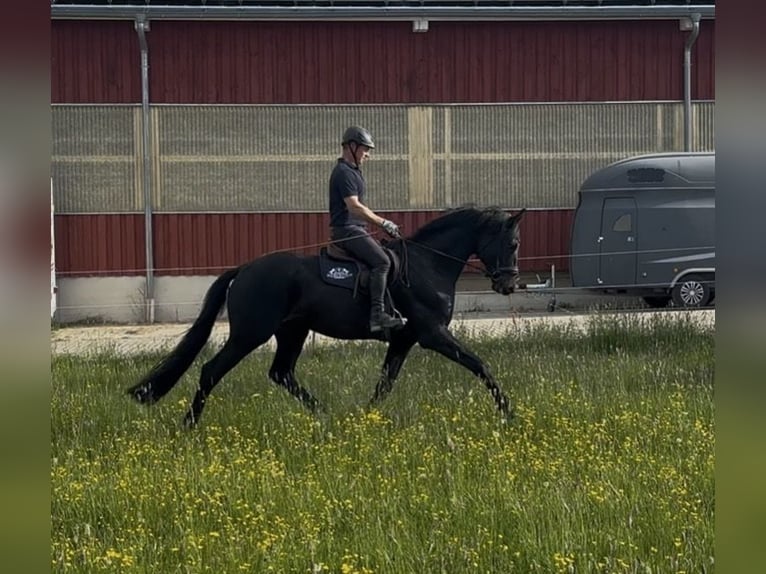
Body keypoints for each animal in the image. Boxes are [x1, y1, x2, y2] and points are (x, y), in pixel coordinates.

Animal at [127, 205, 527, 427]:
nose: (509, 284)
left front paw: (367, 418)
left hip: (292, 332)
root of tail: (244, 270)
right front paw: (509, 413)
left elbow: (384, 383)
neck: (429, 264)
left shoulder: (404, 339)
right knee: (212, 371)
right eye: (513, 243)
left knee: (282, 373)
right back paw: (189, 426)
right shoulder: (432, 334)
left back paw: (324, 414)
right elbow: (480, 365)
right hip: (251, 333)